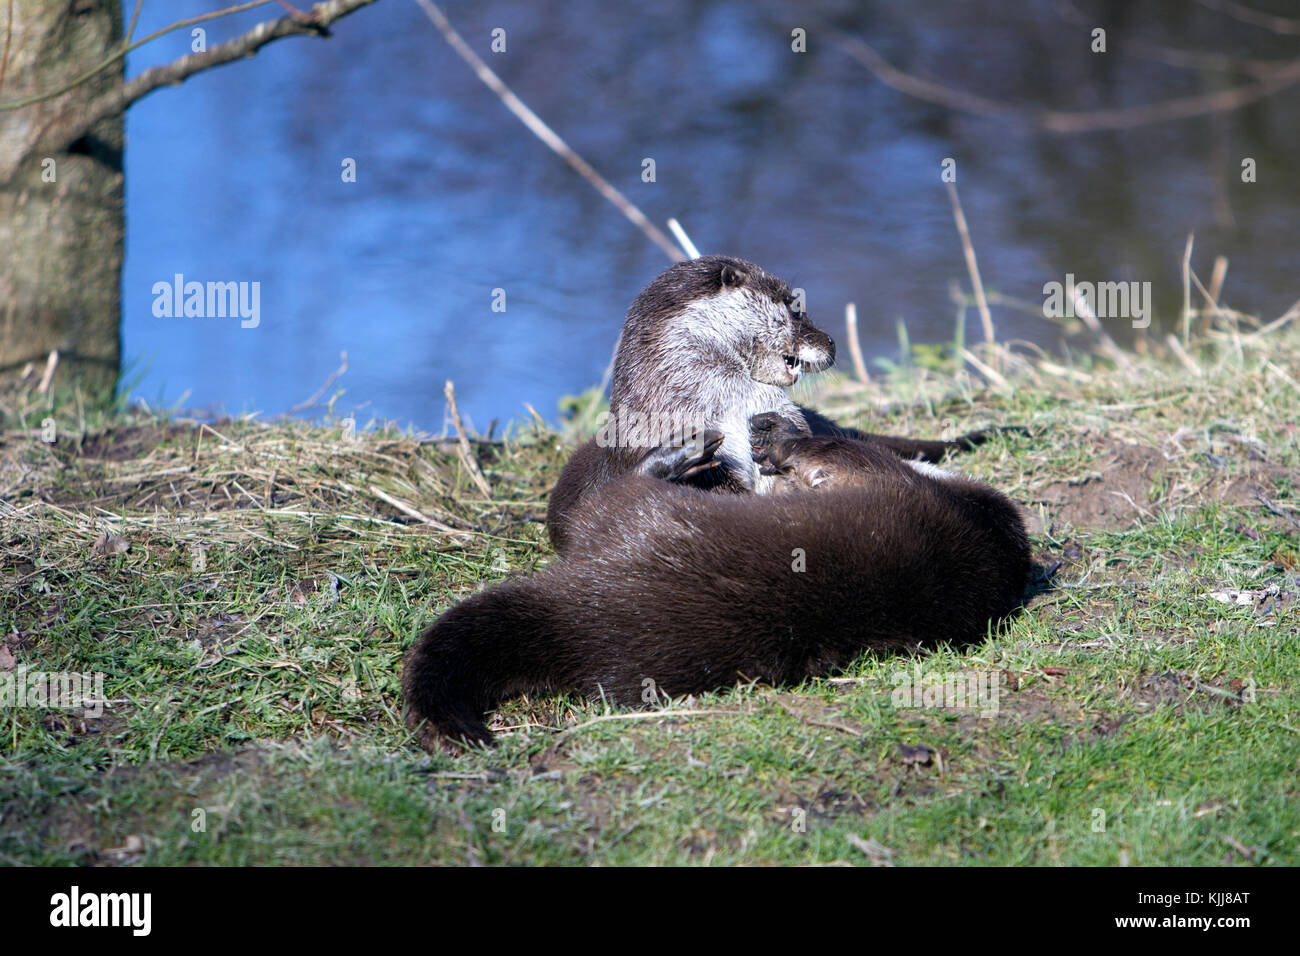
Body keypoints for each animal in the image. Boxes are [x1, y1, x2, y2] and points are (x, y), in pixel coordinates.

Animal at [400, 421, 1029, 749]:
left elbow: (847, 451)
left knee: (611, 490)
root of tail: (587, 602)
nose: (764, 434)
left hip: (622, 509)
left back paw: (676, 456)